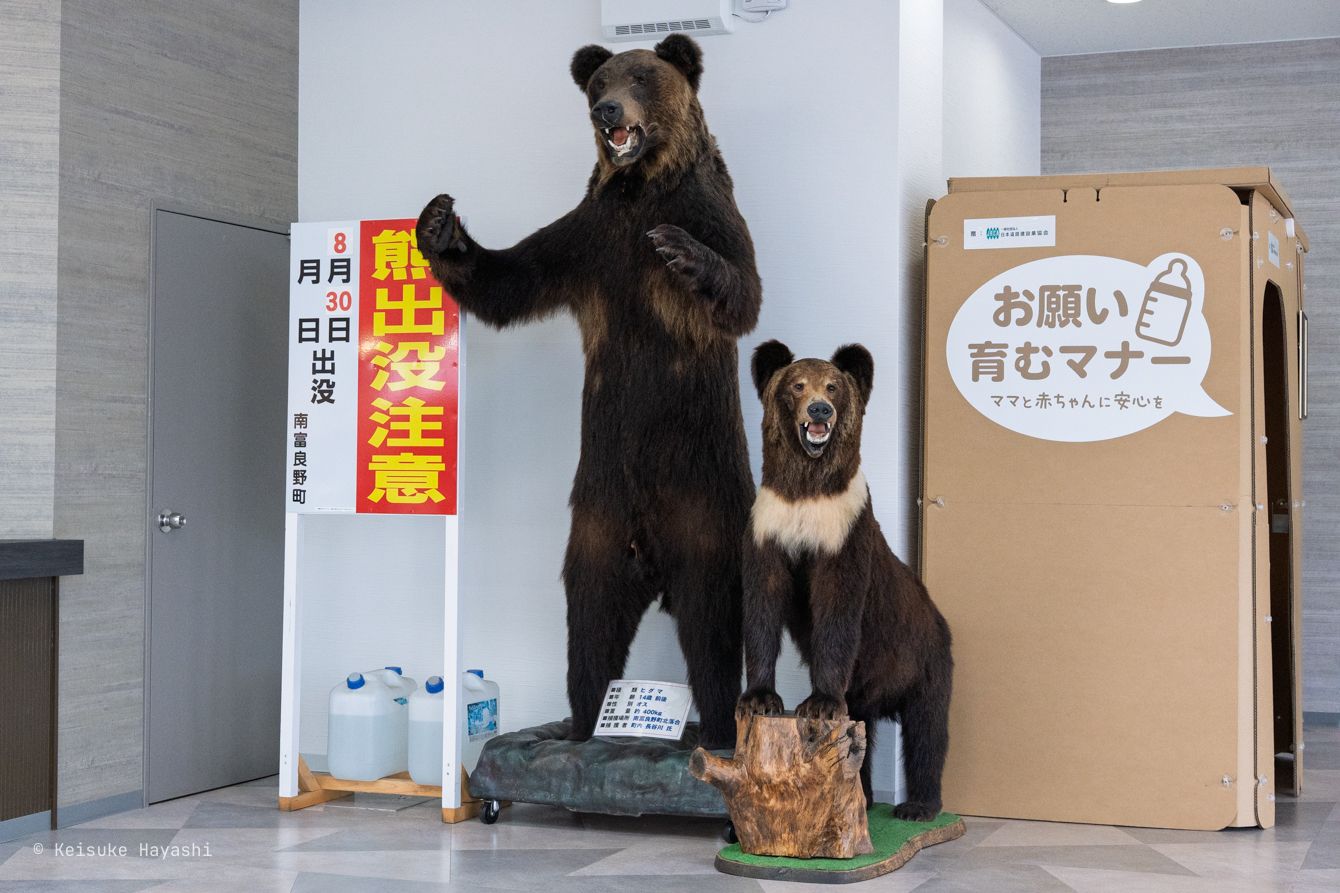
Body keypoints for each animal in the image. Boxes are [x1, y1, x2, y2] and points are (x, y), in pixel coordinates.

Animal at [416, 35, 760, 749]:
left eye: (643, 76)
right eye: (600, 79)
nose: (607, 111)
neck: (642, 188)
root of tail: (651, 558)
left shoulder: (708, 213)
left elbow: (742, 287)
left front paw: (682, 252)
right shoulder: (589, 240)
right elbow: (514, 277)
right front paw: (439, 222)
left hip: (702, 494)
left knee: (712, 619)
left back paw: (716, 732)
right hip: (598, 511)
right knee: (590, 615)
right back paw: (575, 726)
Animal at [735, 340, 954, 821]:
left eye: (833, 386)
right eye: (797, 384)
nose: (820, 409)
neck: (806, 492)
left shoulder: (844, 535)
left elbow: (837, 611)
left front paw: (818, 702)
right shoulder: (768, 529)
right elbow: (762, 603)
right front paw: (759, 697)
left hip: (926, 660)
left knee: (927, 730)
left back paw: (918, 805)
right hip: (872, 691)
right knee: (862, 735)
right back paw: (865, 798)